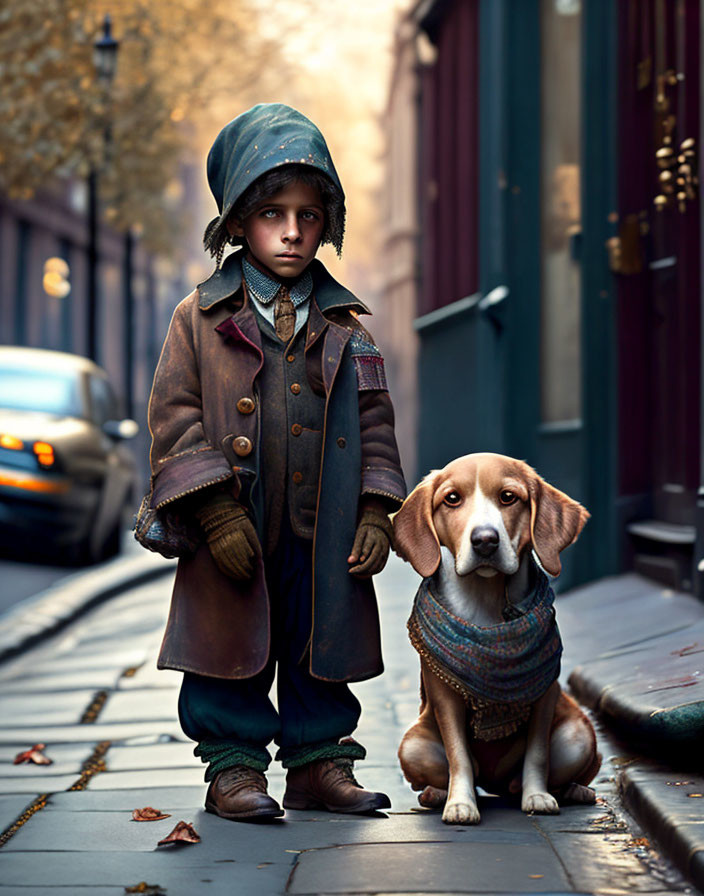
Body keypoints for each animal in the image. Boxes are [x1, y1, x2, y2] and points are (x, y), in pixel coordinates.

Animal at [394, 456, 604, 824]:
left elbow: (537, 754)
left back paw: (571, 790)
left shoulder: (545, 692)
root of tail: (495, 783)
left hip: (578, 736)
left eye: (508, 497)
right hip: (412, 744)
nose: (485, 540)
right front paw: (460, 803)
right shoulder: (444, 694)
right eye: (452, 499)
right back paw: (436, 794)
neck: (486, 604)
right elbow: (458, 755)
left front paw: (537, 796)